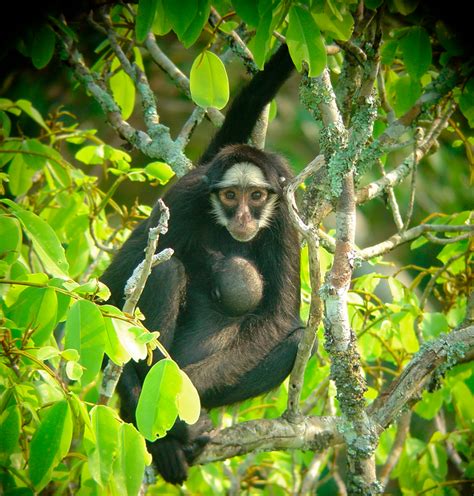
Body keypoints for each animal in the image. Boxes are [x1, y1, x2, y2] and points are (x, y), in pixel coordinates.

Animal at [102, 42, 304, 484]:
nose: (243, 217)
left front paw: (182, 411)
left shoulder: (284, 216)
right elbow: (109, 289)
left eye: (256, 197)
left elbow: (280, 320)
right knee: (164, 269)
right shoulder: (186, 197)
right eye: (230, 196)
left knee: (297, 340)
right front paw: (169, 416)